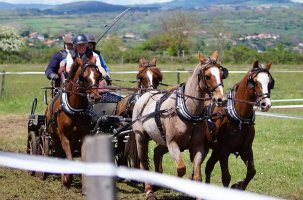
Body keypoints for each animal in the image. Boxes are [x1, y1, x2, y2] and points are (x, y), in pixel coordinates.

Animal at [44, 56, 102, 188]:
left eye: (98, 76)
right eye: (83, 77)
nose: (95, 97)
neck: (76, 109)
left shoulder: (83, 136)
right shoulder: (64, 136)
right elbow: (68, 157)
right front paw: (67, 179)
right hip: (54, 136)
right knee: (59, 154)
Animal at [132, 51, 229, 198]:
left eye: (222, 74)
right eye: (207, 76)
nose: (221, 99)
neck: (189, 112)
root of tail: (147, 94)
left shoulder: (197, 146)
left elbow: (197, 175)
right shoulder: (172, 144)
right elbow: (181, 169)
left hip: (161, 140)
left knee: (157, 153)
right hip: (141, 137)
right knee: (143, 161)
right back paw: (149, 190)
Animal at [204, 60, 276, 191]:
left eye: (270, 82)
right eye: (255, 82)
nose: (266, 104)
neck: (240, 120)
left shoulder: (246, 149)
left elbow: (251, 171)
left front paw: (238, 186)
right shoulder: (223, 150)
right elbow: (226, 177)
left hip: (215, 149)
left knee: (208, 166)